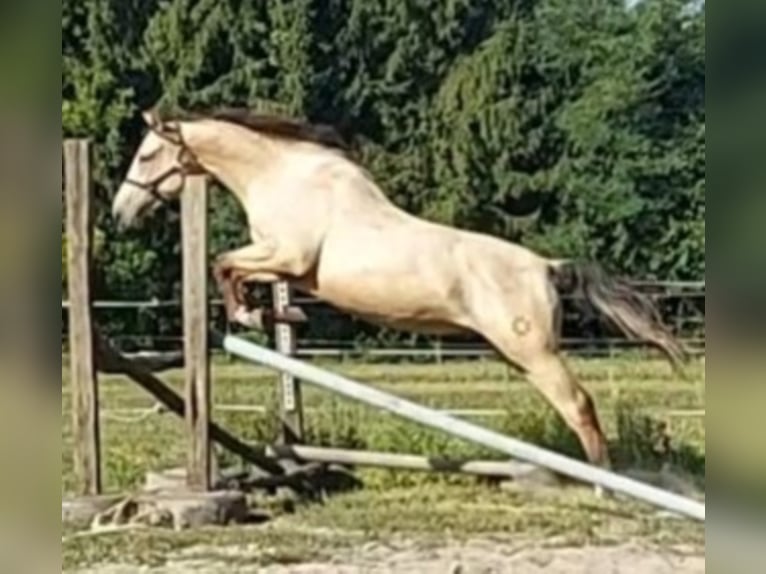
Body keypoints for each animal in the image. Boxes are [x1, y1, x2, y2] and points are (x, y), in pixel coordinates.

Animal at [112, 107, 689, 473]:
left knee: (578, 405)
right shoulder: (287, 268)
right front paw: (274, 317)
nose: (120, 214)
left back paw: (604, 484)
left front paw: (249, 316)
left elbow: (223, 264)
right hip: (521, 356)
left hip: (535, 352)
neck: (280, 176)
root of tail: (547, 266)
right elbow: (240, 274)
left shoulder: (288, 255)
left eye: (146, 156)